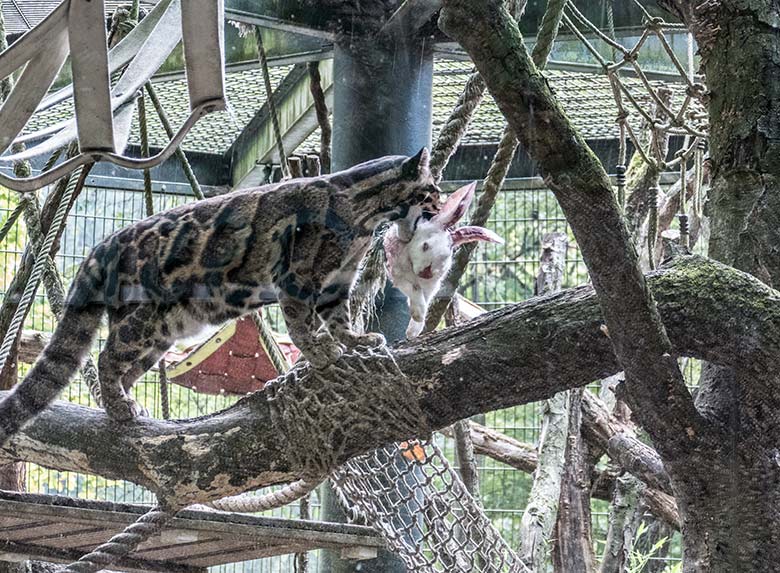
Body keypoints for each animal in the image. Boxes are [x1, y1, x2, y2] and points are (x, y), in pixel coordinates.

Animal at [0, 147, 438, 442]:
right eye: (432, 187)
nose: (440, 203)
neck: (366, 217)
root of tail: (103, 245)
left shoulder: (338, 282)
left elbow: (339, 317)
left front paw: (354, 340)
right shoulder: (296, 277)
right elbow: (302, 323)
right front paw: (321, 352)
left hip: (161, 332)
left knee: (124, 367)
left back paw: (125, 401)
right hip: (142, 316)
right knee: (108, 357)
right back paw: (120, 408)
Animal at [386, 181, 506, 338]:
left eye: (447, 256)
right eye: (425, 245)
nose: (426, 273)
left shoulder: (432, 286)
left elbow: (424, 298)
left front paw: (414, 330)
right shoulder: (397, 273)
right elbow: (413, 289)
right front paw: (418, 315)